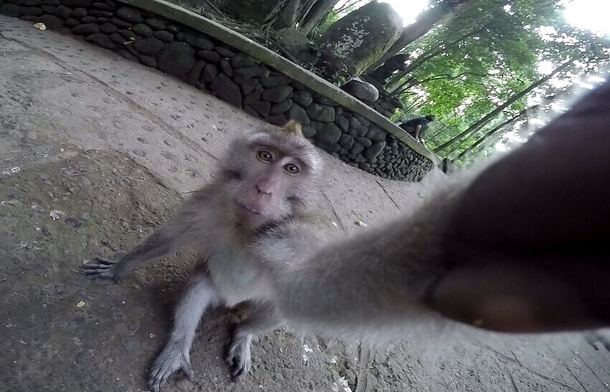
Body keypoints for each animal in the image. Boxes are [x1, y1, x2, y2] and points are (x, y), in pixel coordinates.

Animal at [82, 120, 332, 392]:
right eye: (265, 156)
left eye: (291, 169)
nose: (263, 189)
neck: (245, 226)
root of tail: (232, 303)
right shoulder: (209, 201)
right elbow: (170, 239)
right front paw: (119, 267)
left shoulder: (301, 235)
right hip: (213, 285)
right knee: (197, 289)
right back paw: (178, 347)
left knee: (284, 302)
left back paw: (244, 334)